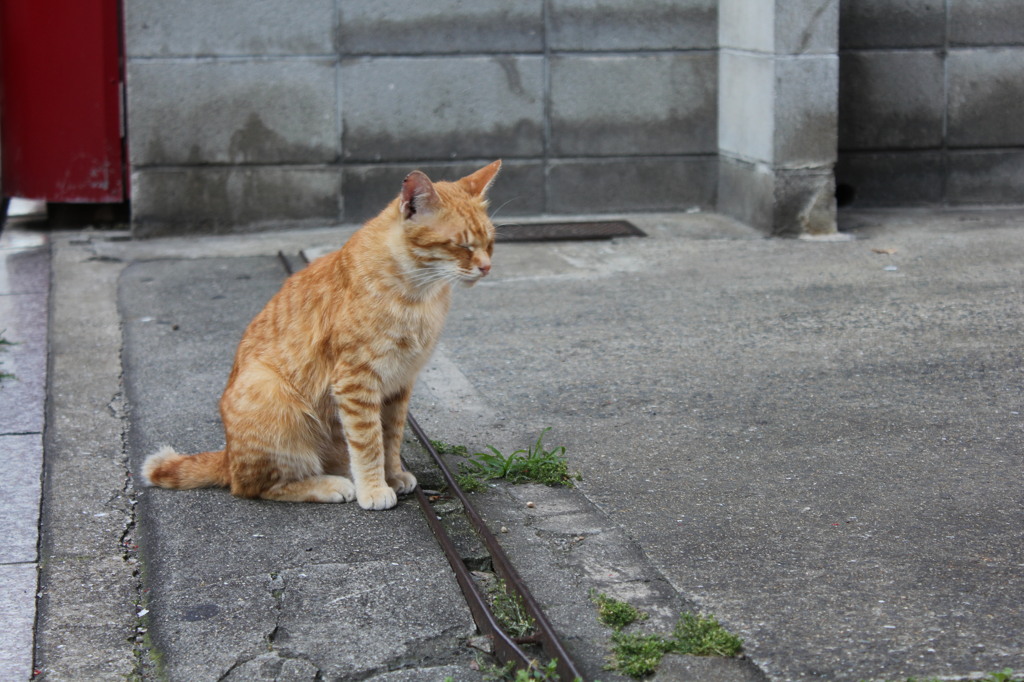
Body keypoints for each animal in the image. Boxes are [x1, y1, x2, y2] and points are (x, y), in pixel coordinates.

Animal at [142, 160, 501, 503]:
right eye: (462, 245)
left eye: (490, 243)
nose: (486, 267)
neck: (418, 294)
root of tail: (228, 457)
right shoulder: (357, 380)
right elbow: (369, 442)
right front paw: (374, 488)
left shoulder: (400, 384)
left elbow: (391, 437)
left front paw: (393, 474)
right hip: (271, 394)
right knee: (256, 487)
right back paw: (331, 485)